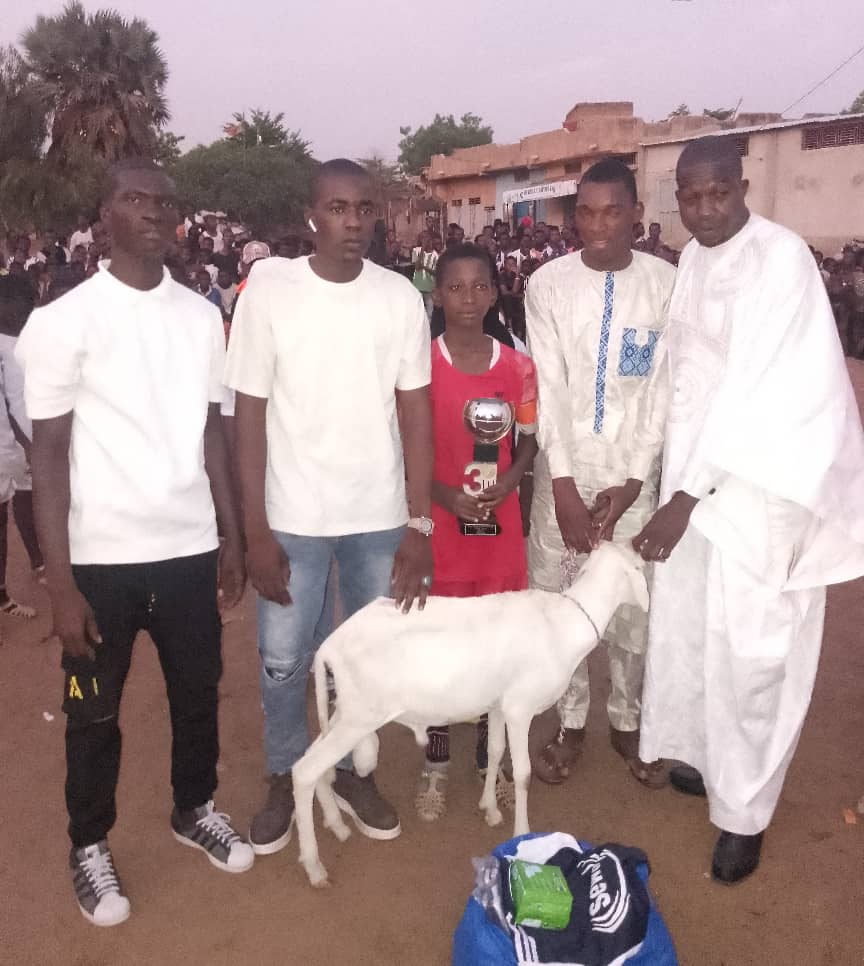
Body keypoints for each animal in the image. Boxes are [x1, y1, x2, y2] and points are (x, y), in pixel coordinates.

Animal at [292, 540, 648, 888]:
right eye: (640, 567)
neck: (562, 626)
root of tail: (330, 645)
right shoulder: (519, 708)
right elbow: (523, 773)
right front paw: (522, 834)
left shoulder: (498, 705)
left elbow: (494, 752)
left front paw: (489, 807)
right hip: (358, 717)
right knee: (305, 771)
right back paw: (314, 866)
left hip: (345, 712)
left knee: (313, 761)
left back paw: (336, 824)